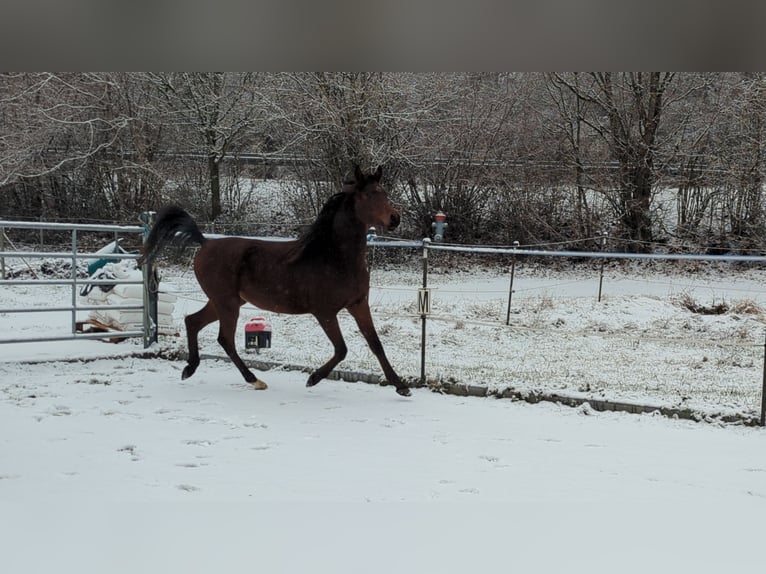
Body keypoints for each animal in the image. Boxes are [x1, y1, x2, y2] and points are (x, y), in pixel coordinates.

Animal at [141, 168, 412, 396]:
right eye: (369, 195)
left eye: (384, 193)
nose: (395, 218)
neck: (334, 256)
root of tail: (205, 242)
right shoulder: (325, 312)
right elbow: (341, 349)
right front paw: (313, 378)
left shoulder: (358, 305)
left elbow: (376, 344)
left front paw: (401, 386)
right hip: (226, 303)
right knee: (225, 339)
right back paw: (254, 380)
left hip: (225, 302)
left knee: (193, 322)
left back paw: (190, 369)